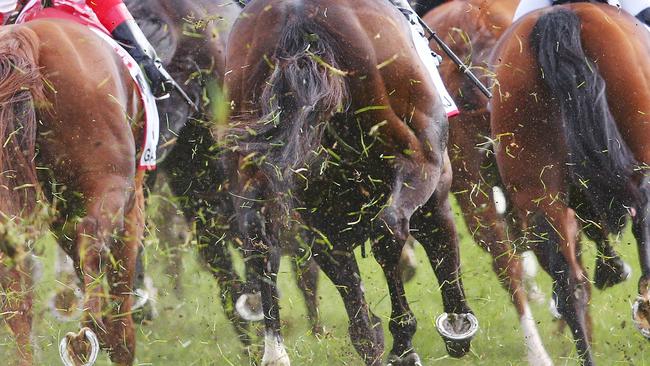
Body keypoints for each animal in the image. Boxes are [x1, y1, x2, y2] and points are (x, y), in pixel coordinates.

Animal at [0, 16, 146, 364]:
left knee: (15, 288)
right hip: (109, 188)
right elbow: (120, 294)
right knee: (93, 245)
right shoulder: (130, 211)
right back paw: (86, 334)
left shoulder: (62, 218)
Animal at [228, 0, 476, 366]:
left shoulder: (323, 222)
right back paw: (403, 342)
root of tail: (298, 17)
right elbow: (443, 249)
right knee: (390, 229)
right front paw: (457, 325)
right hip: (417, 162)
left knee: (257, 239)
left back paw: (275, 350)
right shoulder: (436, 189)